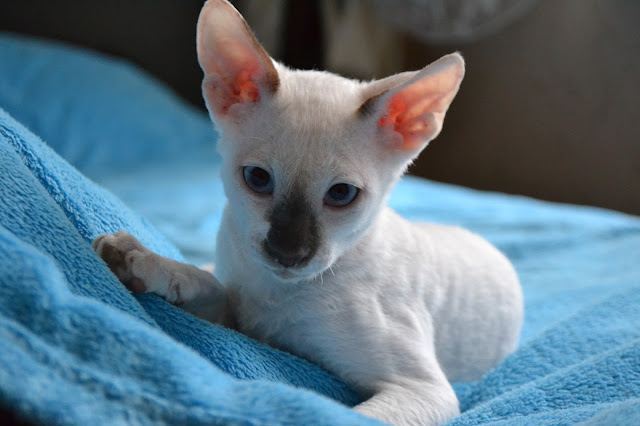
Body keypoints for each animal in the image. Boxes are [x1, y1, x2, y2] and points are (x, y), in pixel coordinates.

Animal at [95, 1, 524, 424]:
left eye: (341, 194)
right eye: (257, 178)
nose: (288, 253)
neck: (279, 294)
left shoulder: (422, 389)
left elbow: (339, 417)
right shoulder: (240, 318)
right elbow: (210, 282)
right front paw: (144, 261)